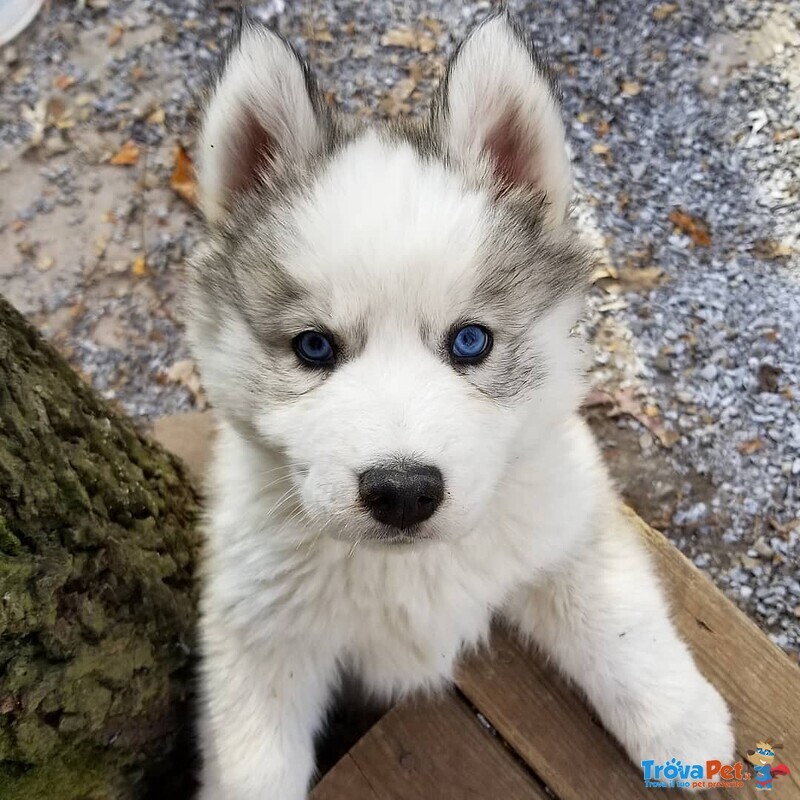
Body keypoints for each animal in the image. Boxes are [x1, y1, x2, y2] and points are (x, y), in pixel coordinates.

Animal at [186, 9, 732, 796]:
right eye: (313, 348)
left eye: (471, 341)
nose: (402, 492)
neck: (412, 569)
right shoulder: (257, 631)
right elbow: (254, 764)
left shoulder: (569, 523)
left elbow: (620, 625)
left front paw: (684, 727)